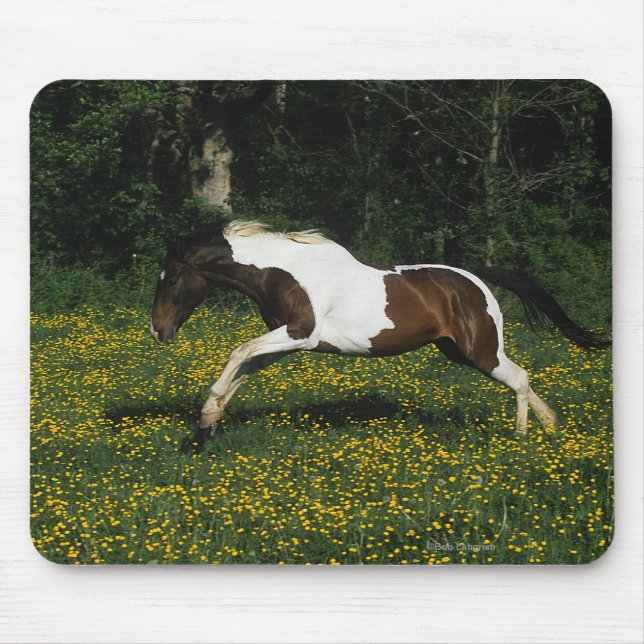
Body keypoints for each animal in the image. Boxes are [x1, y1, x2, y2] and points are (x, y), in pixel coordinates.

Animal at [150, 220, 609, 449]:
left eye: (171, 278)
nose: (158, 332)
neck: (285, 273)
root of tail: (475, 279)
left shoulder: (299, 334)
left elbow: (238, 353)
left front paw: (205, 420)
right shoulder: (286, 343)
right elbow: (244, 368)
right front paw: (206, 425)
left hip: (480, 351)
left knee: (519, 378)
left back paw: (521, 437)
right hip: (458, 350)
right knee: (523, 378)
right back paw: (551, 426)